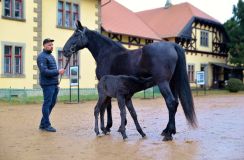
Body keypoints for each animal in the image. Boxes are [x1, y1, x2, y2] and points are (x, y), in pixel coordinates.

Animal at [62, 20, 196, 141]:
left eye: (76, 35)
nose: (64, 51)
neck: (106, 53)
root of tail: (173, 45)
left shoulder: (107, 87)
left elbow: (107, 106)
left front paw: (107, 127)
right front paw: (119, 126)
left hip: (163, 83)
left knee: (171, 103)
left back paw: (168, 134)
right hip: (171, 83)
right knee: (176, 103)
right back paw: (168, 131)